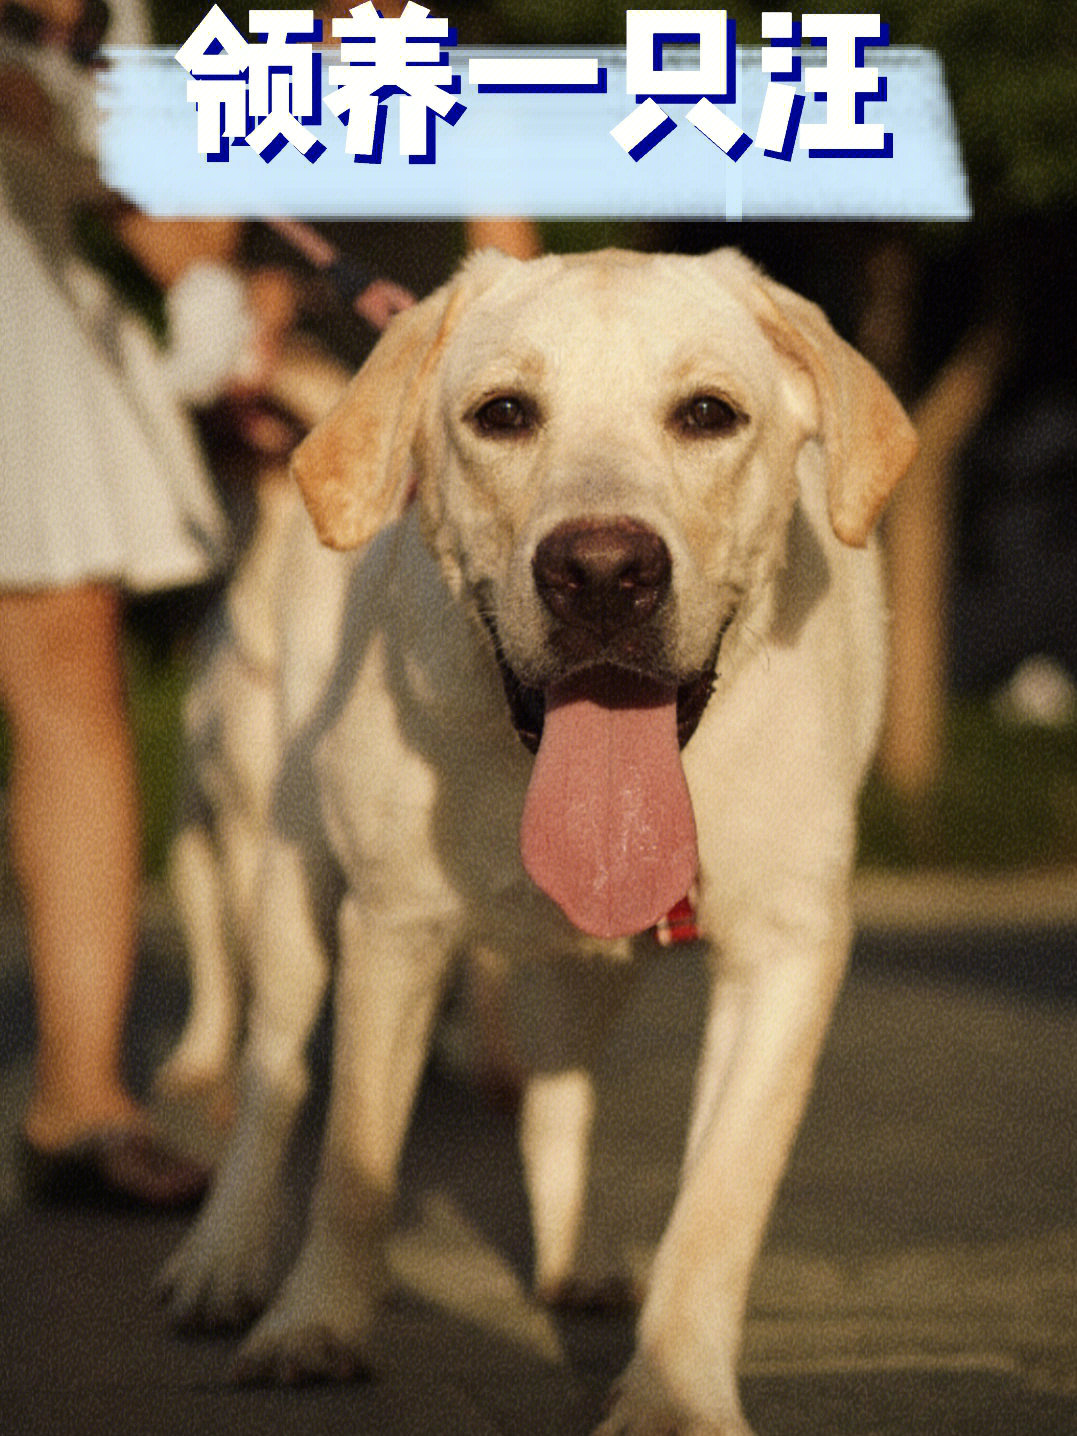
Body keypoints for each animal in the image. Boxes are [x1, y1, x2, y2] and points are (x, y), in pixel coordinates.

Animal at [162, 249, 919, 1436]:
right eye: (504, 414)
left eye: (709, 413)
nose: (603, 571)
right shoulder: (394, 923)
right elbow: (351, 1161)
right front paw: (317, 1322)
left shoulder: (789, 951)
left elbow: (719, 1205)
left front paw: (675, 1393)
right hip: (283, 873)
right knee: (272, 1072)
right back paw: (225, 1259)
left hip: (595, 958)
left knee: (560, 1084)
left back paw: (576, 1254)